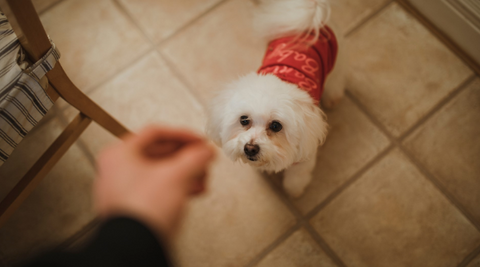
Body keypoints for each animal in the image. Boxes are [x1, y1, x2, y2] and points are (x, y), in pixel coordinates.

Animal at [205, 0, 344, 197]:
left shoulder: (303, 158)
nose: (250, 148)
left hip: (336, 61)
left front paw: (294, 190)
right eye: (244, 120)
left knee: (336, 79)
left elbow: (297, 176)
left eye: (276, 126)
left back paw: (333, 97)